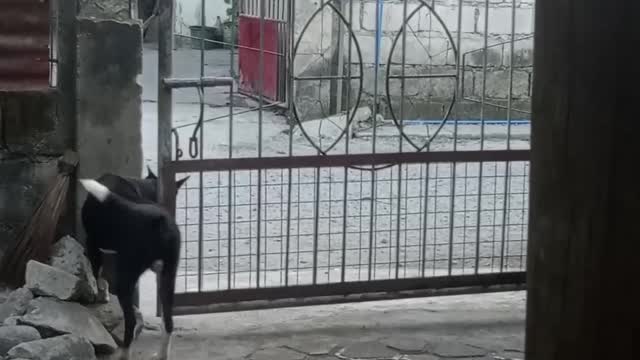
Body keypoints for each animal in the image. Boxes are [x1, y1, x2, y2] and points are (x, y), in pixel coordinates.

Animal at [79, 169, 188, 360]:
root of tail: (159, 219)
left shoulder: (93, 244)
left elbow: (97, 274)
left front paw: (99, 295)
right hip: (168, 276)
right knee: (168, 321)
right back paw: (161, 355)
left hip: (126, 278)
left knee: (130, 321)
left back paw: (125, 353)